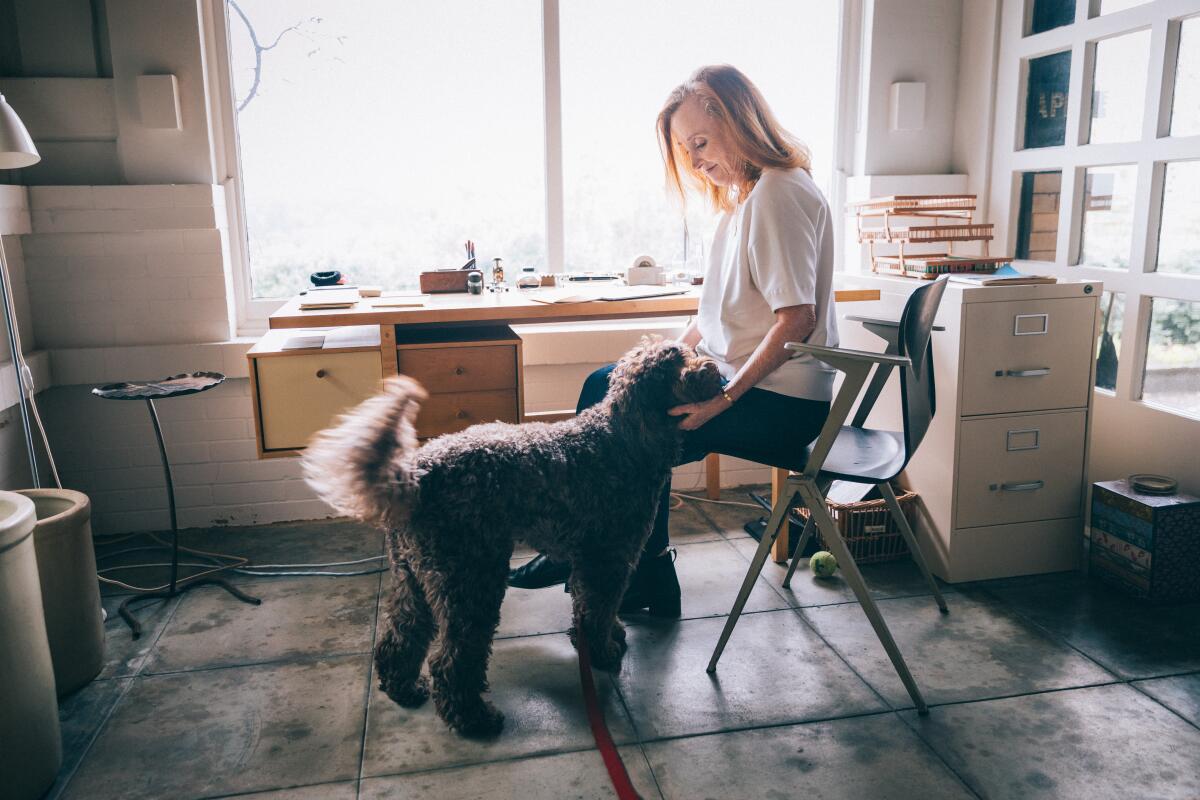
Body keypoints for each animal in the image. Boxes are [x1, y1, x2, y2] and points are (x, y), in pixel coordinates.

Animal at [302, 338, 720, 738]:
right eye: (673, 365)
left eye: (685, 353)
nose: (713, 368)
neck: (620, 440)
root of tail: (418, 474)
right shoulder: (607, 560)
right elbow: (598, 611)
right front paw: (604, 653)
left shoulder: (591, 561)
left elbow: (590, 609)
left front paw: (602, 639)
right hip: (470, 579)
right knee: (452, 659)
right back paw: (473, 719)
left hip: (414, 574)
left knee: (402, 634)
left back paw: (402, 689)